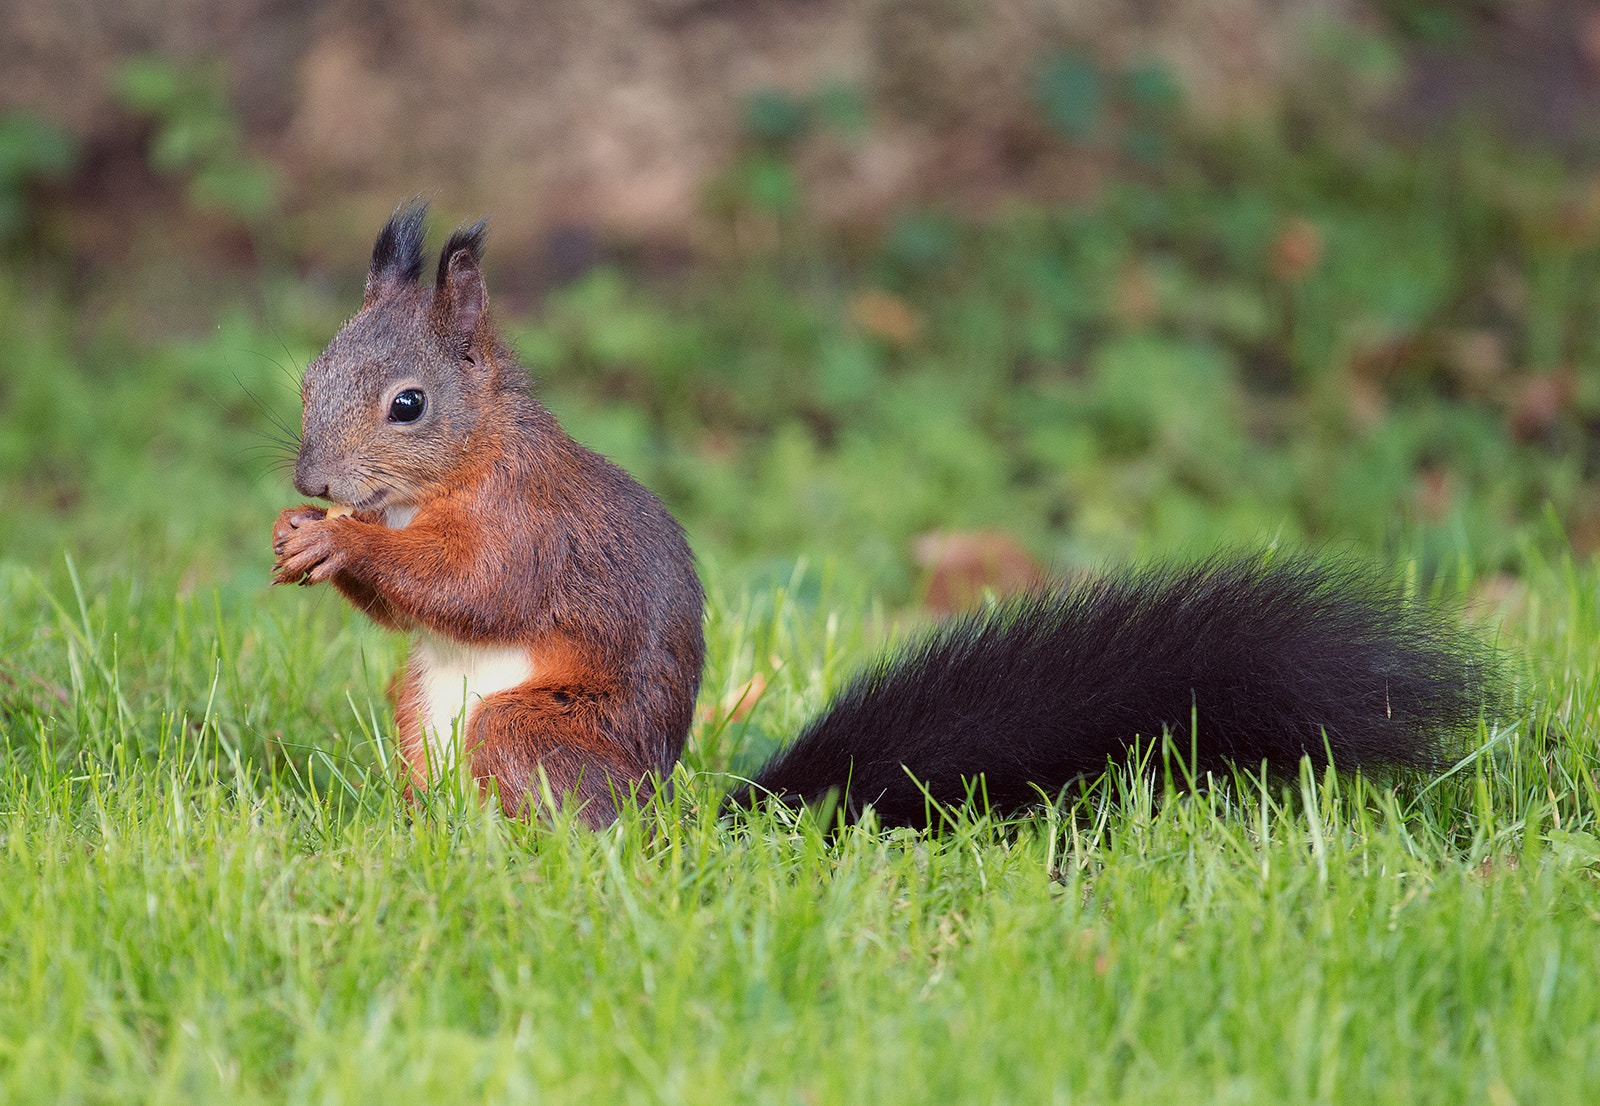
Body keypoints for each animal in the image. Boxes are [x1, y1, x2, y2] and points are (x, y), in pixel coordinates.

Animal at [275, 204, 1497, 832]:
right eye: (311, 373)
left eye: (407, 403)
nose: (315, 481)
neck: (465, 464)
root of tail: (673, 821)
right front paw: (303, 539)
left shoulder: (533, 528)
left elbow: (474, 584)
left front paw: (341, 542)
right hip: (420, 714)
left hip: (530, 733)